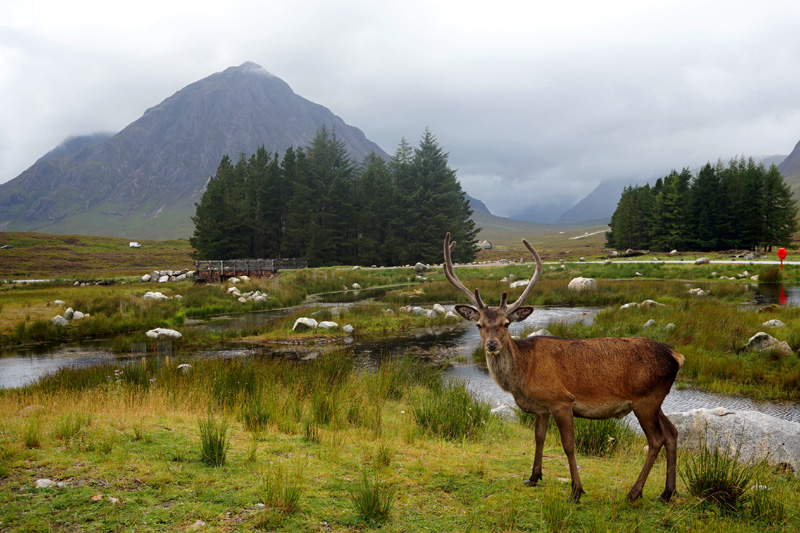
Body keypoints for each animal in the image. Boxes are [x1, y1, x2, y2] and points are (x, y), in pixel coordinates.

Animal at [443, 233, 684, 503]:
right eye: (479, 325)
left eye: (506, 324)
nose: (492, 344)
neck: (523, 375)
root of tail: (676, 356)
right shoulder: (541, 409)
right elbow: (538, 439)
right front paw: (533, 477)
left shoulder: (561, 401)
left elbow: (568, 445)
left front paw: (576, 491)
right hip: (655, 400)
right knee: (672, 433)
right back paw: (667, 492)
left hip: (646, 399)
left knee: (656, 439)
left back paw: (634, 492)